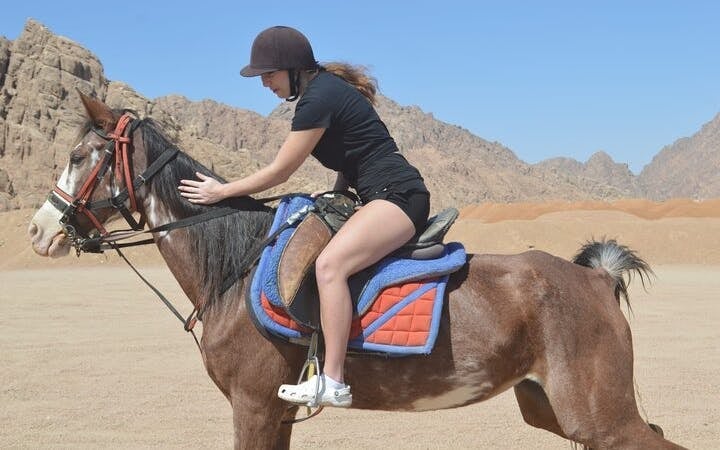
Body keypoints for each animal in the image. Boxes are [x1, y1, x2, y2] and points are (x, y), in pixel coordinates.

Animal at [28, 92, 685, 449]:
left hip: (598, 413)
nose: (39, 231)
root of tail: (596, 279)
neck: (236, 270)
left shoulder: (253, 406)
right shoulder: (274, 413)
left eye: (79, 156)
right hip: (551, 407)